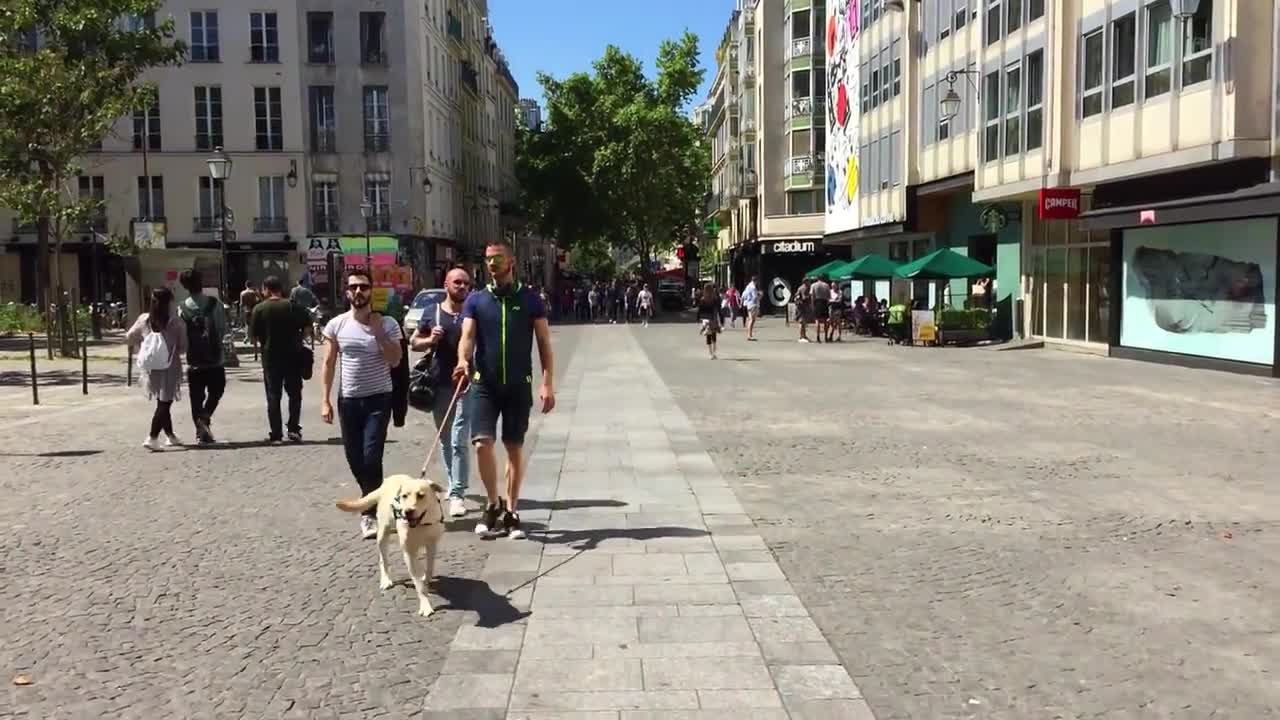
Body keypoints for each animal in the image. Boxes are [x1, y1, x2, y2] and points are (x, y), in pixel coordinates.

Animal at [337, 471, 448, 617]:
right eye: (404, 496)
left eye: (421, 495)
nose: (407, 511)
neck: (421, 524)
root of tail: (387, 481)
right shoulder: (408, 551)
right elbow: (418, 583)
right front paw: (425, 604)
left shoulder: (432, 545)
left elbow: (429, 569)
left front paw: (426, 579)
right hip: (383, 534)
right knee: (383, 560)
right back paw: (386, 579)